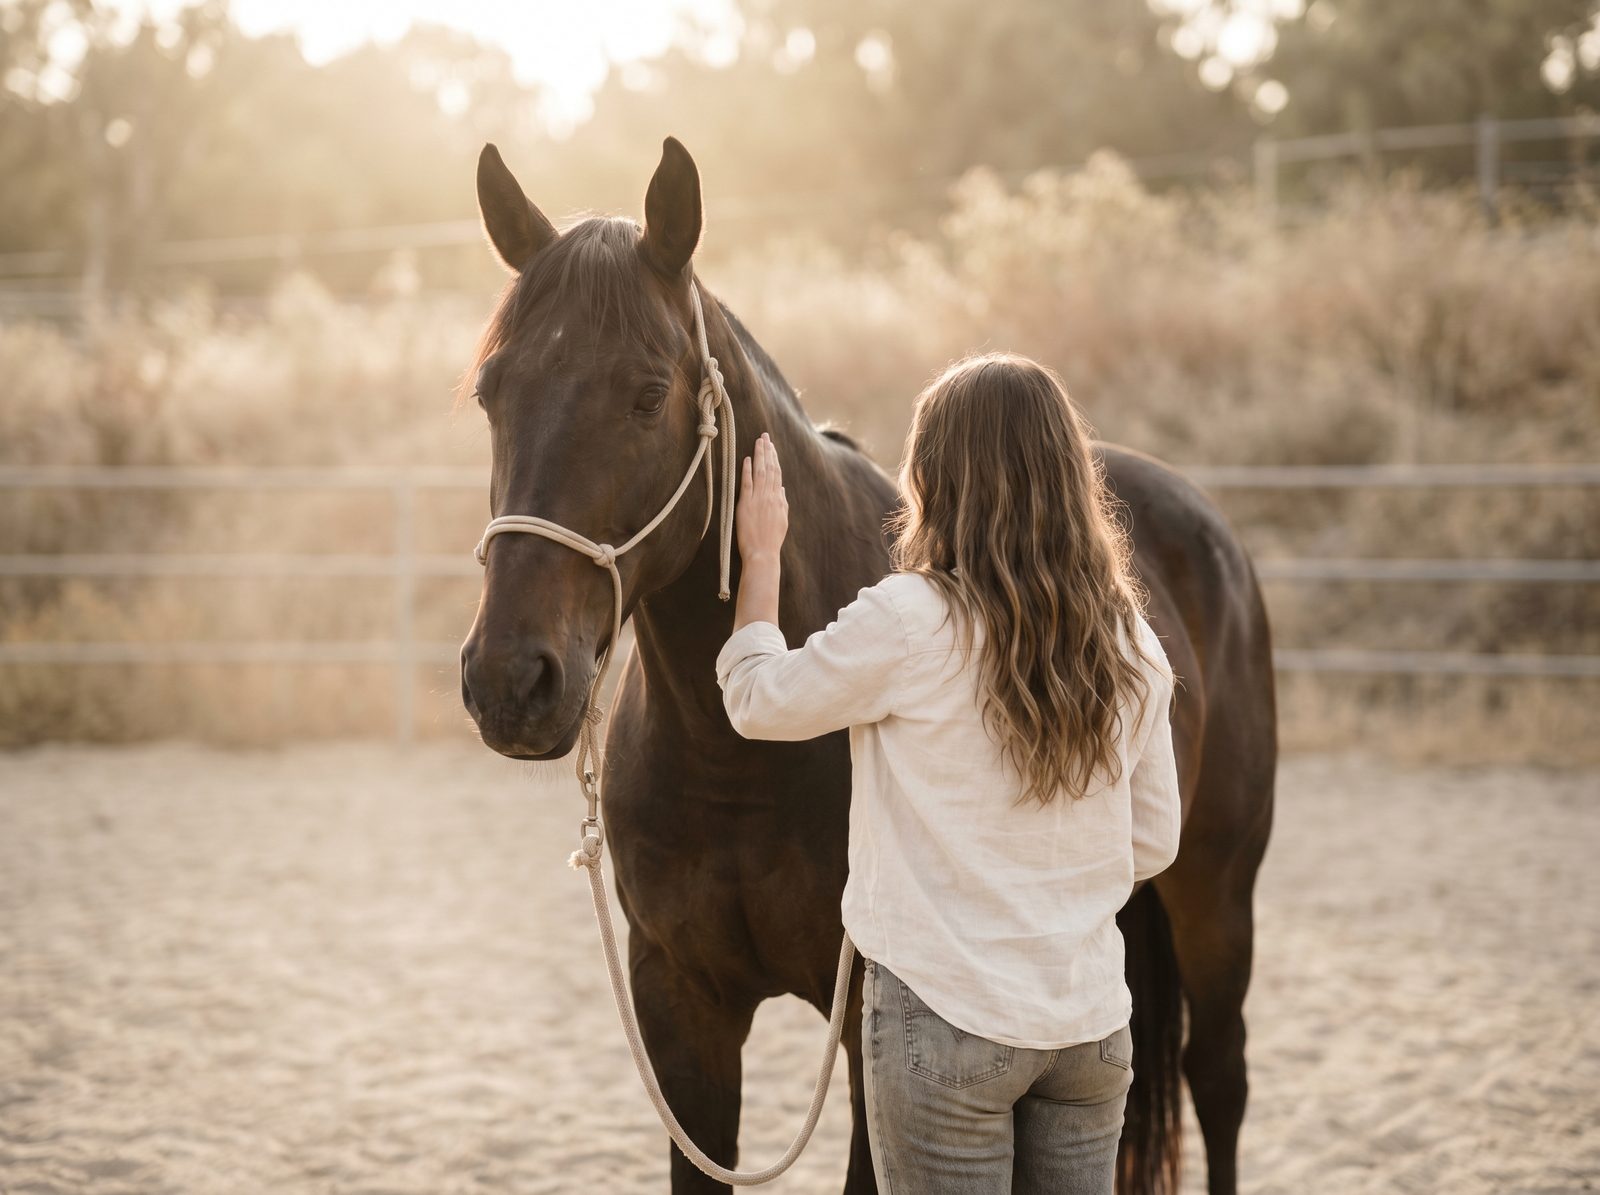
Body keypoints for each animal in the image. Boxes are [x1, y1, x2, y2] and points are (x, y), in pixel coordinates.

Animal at [458, 137, 1276, 1195]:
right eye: (491, 393)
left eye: (646, 394)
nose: (511, 680)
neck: (740, 756)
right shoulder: (681, 1006)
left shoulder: (865, 1033)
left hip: (1219, 896)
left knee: (1219, 1079)